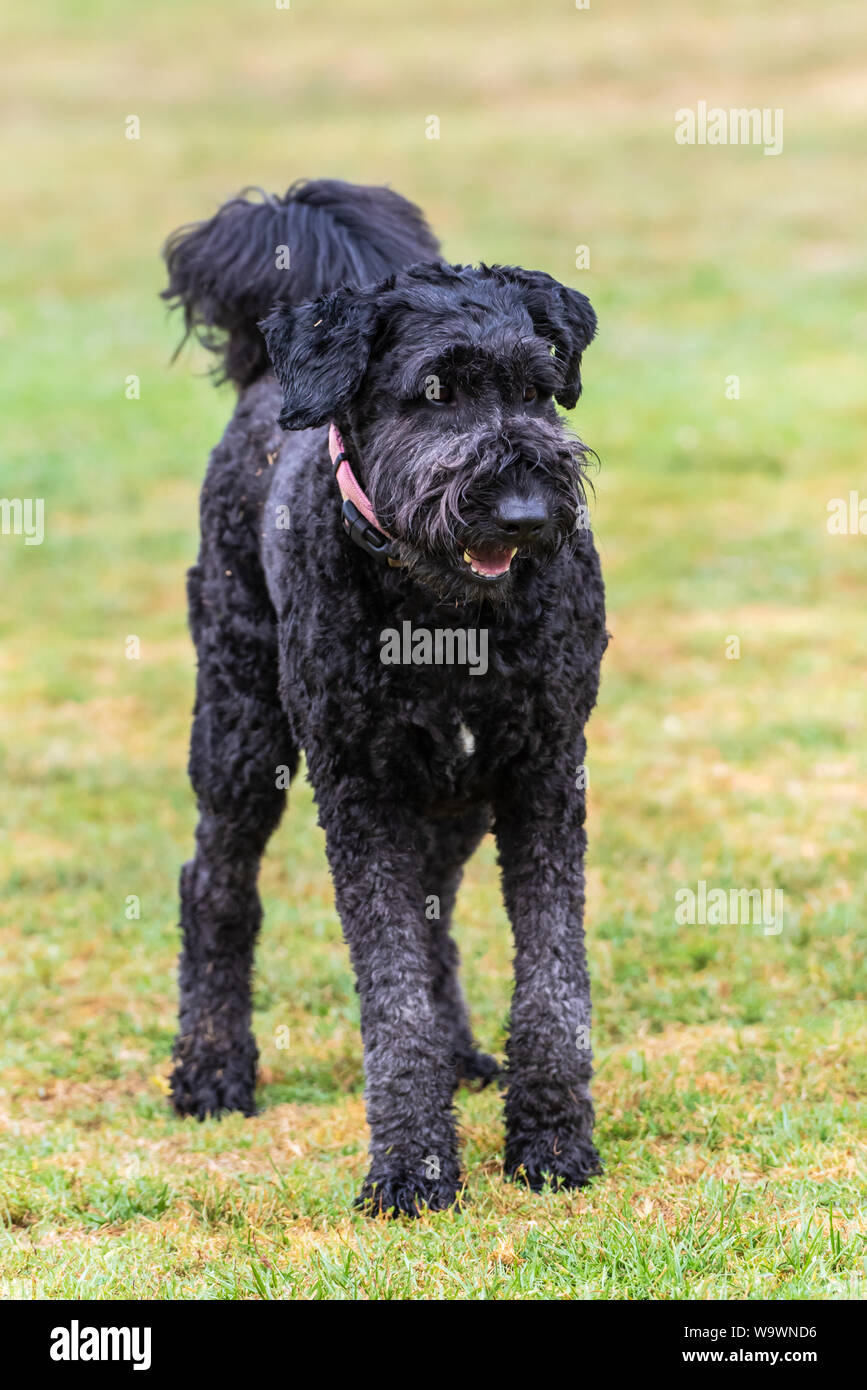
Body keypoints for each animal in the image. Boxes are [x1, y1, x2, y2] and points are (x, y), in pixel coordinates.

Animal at [162, 179, 608, 1212]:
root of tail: (267, 375)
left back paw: (461, 1055)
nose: (525, 514)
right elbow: (390, 988)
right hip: (241, 728)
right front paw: (412, 1165)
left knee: (437, 913)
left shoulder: (543, 772)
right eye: (433, 392)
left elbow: (551, 974)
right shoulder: (359, 789)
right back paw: (210, 1070)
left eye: (538, 386)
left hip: (450, 795)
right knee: (213, 888)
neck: (444, 616)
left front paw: (551, 1140)